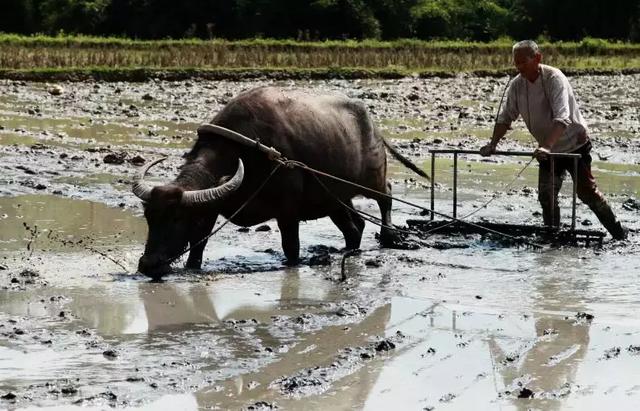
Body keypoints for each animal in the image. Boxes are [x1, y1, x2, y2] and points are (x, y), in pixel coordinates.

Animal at [132, 87, 428, 280]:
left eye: (177, 219)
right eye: (149, 218)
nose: (147, 265)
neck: (246, 153)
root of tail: (373, 127)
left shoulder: (288, 212)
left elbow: (291, 247)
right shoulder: (211, 209)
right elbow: (198, 245)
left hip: (372, 179)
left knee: (385, 197)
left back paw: (389, 236)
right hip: (334, 199)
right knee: (354, 227)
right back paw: (348, 250)